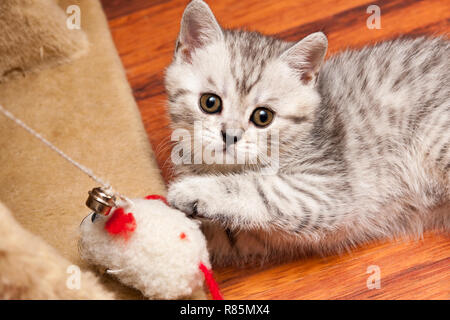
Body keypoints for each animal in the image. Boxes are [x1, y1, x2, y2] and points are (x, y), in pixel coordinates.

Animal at [163, 0, 448, 264]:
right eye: (210, 103)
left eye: (263, 117)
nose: (230, 135)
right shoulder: (245, 236)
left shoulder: (325, 190)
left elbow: (257, 187)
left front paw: (193, 190)